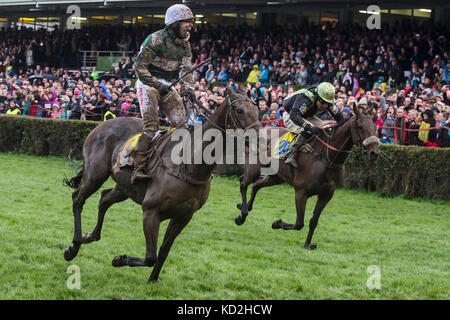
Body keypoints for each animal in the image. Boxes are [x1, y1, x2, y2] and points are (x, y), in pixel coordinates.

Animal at [63, 86, 260, 282]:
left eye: (257, 110)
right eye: (240, 110)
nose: (259, 138)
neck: (189, 166)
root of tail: (103, 123)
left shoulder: (183, 217)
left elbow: (164, 251)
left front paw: (152, 279)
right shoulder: (151, 211)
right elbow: (151, 256)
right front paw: (119, 259)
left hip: (125, 187)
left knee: (104, 199)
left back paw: (89, 236)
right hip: (95, 175)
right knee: (78, 199)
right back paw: (74, 246)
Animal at [236, 104, 380, 249]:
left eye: (374, 127)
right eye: (360, 126)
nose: (374, 152)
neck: (327, 158)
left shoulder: (326, 195)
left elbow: (313, 221)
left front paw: (307, 244)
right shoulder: (301, 191)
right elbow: (299, 223)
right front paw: (277, 223)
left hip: (276, 176)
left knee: (256, 185)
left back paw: (245, 207)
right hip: (255, 169)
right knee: (243, 183)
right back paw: (242, 215)